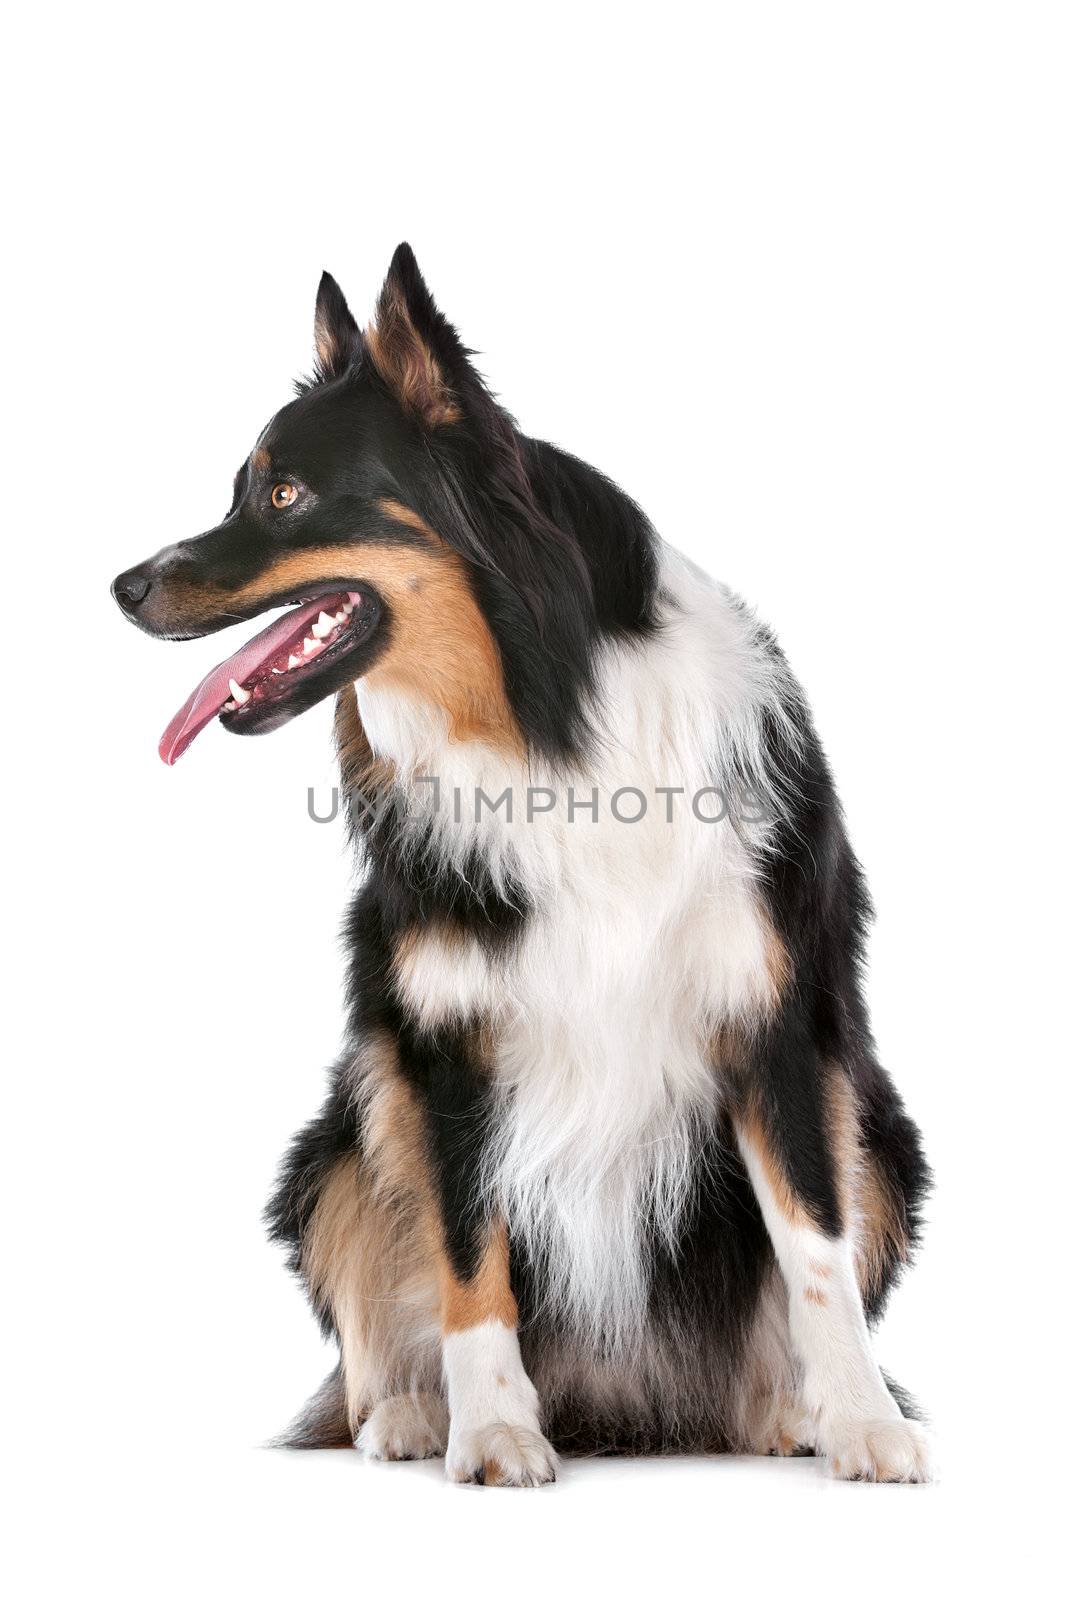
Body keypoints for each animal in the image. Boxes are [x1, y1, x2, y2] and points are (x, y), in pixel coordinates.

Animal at [112, 243, 934, 1478]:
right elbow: (465, 1254)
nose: (120, 586)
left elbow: (815, 1248)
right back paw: (407, 1413)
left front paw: (864, 1422)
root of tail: (624, 1406)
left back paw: (784, 1413)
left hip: (883, 1131)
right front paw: (493, 1425)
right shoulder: (444, 1039)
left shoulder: (780, 1020)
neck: (543, 723)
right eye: (240, 489)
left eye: (284, 494)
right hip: (338, 1139)